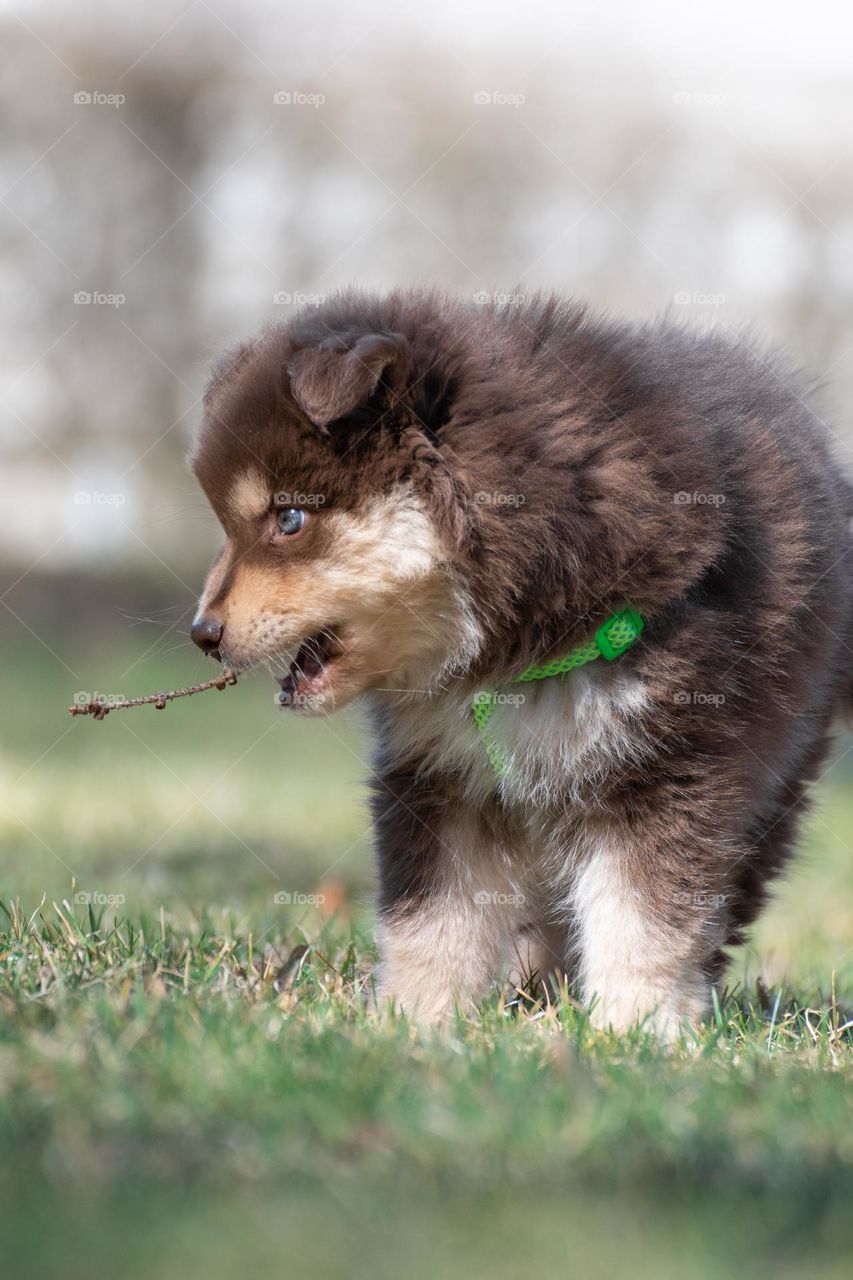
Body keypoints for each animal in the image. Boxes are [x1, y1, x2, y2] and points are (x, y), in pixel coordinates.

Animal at [190, 285, 850, 1034]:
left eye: (289, 520)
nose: (202, 632)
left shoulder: (668, 768)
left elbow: (644, 917)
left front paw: (635, 1029)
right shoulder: (439, 774)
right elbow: (431, 918)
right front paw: (413, 1021)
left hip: (773, 779)